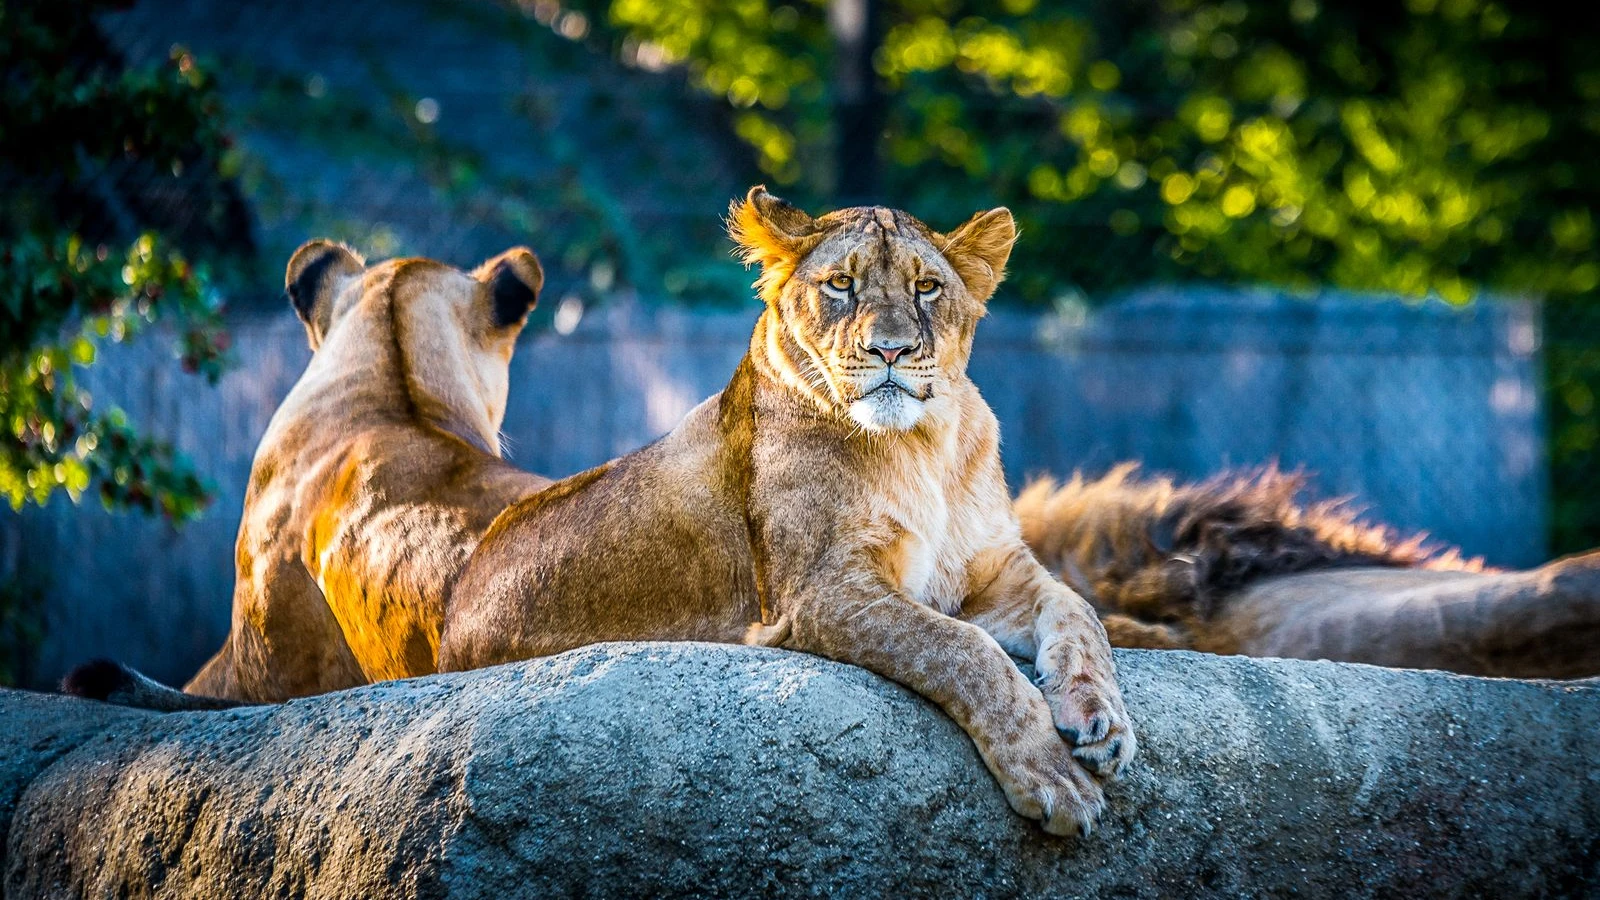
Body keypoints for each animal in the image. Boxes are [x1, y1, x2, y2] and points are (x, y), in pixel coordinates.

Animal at [438, 188, 1135, 837]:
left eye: (927, 287)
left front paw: (1100, 720)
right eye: (841, 284)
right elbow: (965, 651)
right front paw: (1051, 776)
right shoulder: (822, 593)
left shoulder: (990, 570)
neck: (922, 445)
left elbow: (1080, 610)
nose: (891, 351)